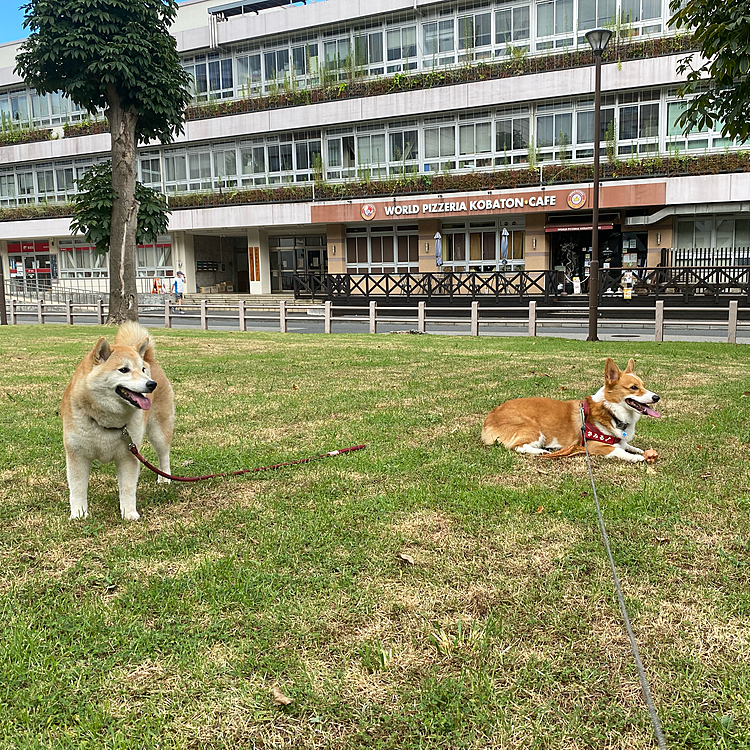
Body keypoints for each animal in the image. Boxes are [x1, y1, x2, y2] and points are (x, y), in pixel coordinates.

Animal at [61, 324, 176, 524]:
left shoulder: (128, 455)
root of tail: (149, 358)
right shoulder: (77, 455)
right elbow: (77, 489)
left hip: (159, 430)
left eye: (142, 370)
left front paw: (129, 513)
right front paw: (78, 514)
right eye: (124, 370)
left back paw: (165, 479)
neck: (104, 420)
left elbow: (128, 488)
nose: (151, 384)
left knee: (164, 455)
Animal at [484, 360, 660, 462]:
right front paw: (636, 457)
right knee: (518, 446)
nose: (657, 397)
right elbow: (618, 450)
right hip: (534, 429)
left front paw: (637, 449)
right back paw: (540, 451)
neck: (610, 411)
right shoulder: (594, 446)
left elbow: (626, 445)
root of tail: (489, 418)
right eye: (634, 387)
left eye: (643, 385)